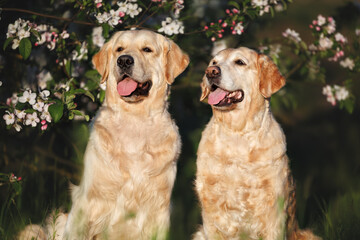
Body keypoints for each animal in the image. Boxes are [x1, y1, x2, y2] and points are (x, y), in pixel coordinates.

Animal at [17, 30, 188, 240]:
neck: (134, 119)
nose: (124, 61)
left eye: (147, 49)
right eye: (119, 49)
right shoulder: (87, 202)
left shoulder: (159, 208)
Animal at [193, 47, 320, 240]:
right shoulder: (212, 208)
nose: (211, 72)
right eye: (214, 62)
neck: (237, 132)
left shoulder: (274, 209)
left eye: (240, 62)